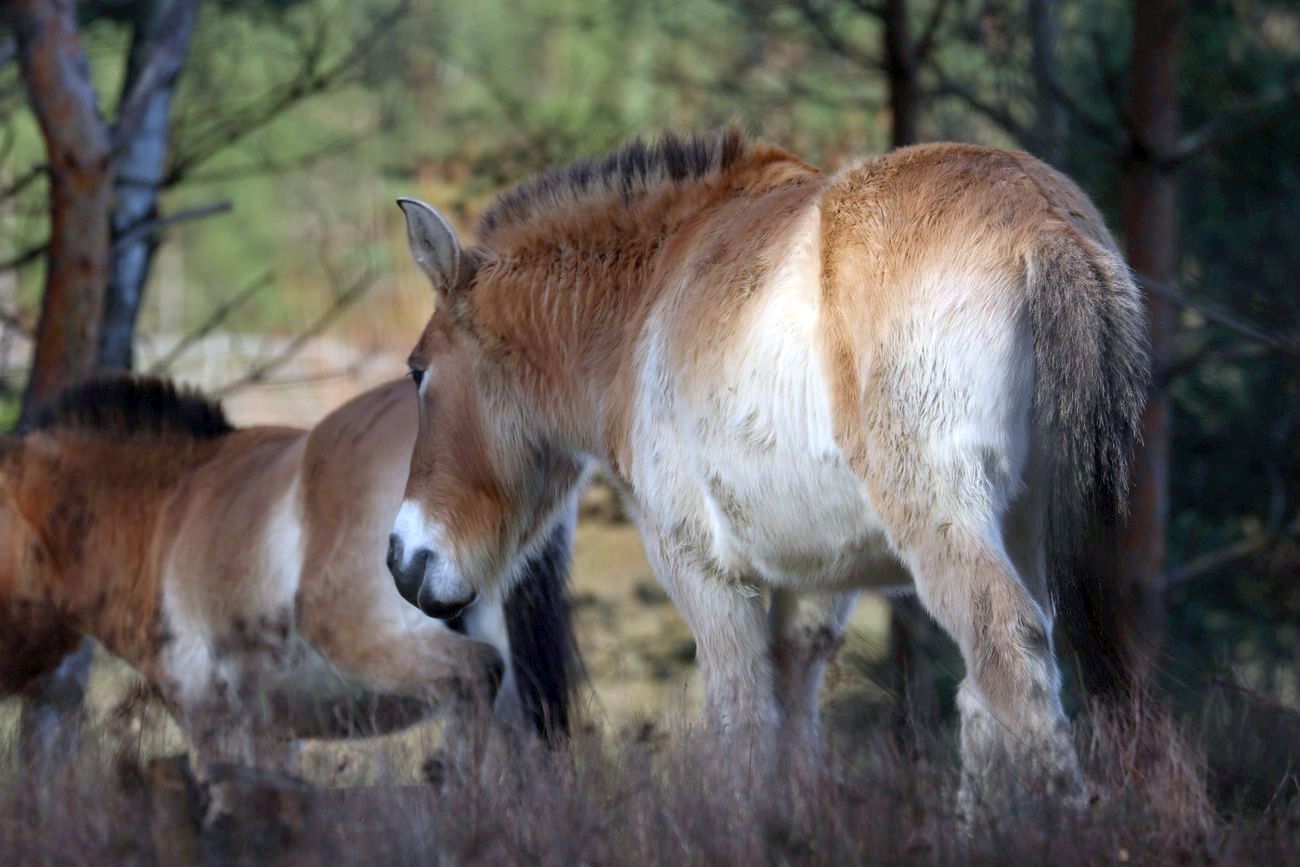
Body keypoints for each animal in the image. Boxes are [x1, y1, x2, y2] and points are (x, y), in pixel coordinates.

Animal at [387, 130, 1149, 805]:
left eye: (419, 372)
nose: (402, 560)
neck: (650, 295)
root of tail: (1041, 221)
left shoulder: (706, 577)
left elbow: (742, 731)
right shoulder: (809, 594)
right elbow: (793, 735)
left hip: (945, 528)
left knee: (1006, 656)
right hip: (1025, 531)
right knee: (1003, 689)